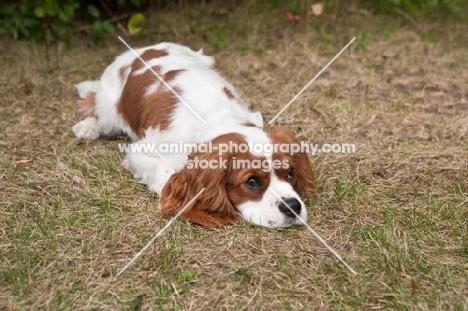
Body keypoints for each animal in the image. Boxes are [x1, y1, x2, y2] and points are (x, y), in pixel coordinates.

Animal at [73, 42, 316, 228]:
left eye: (291, 172)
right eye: (252, 181)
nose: (293, 206)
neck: (218, 120)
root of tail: (141, 48)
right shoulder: (139, 151)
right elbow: (165, 172)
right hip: (109, 112)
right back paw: (88, 126)